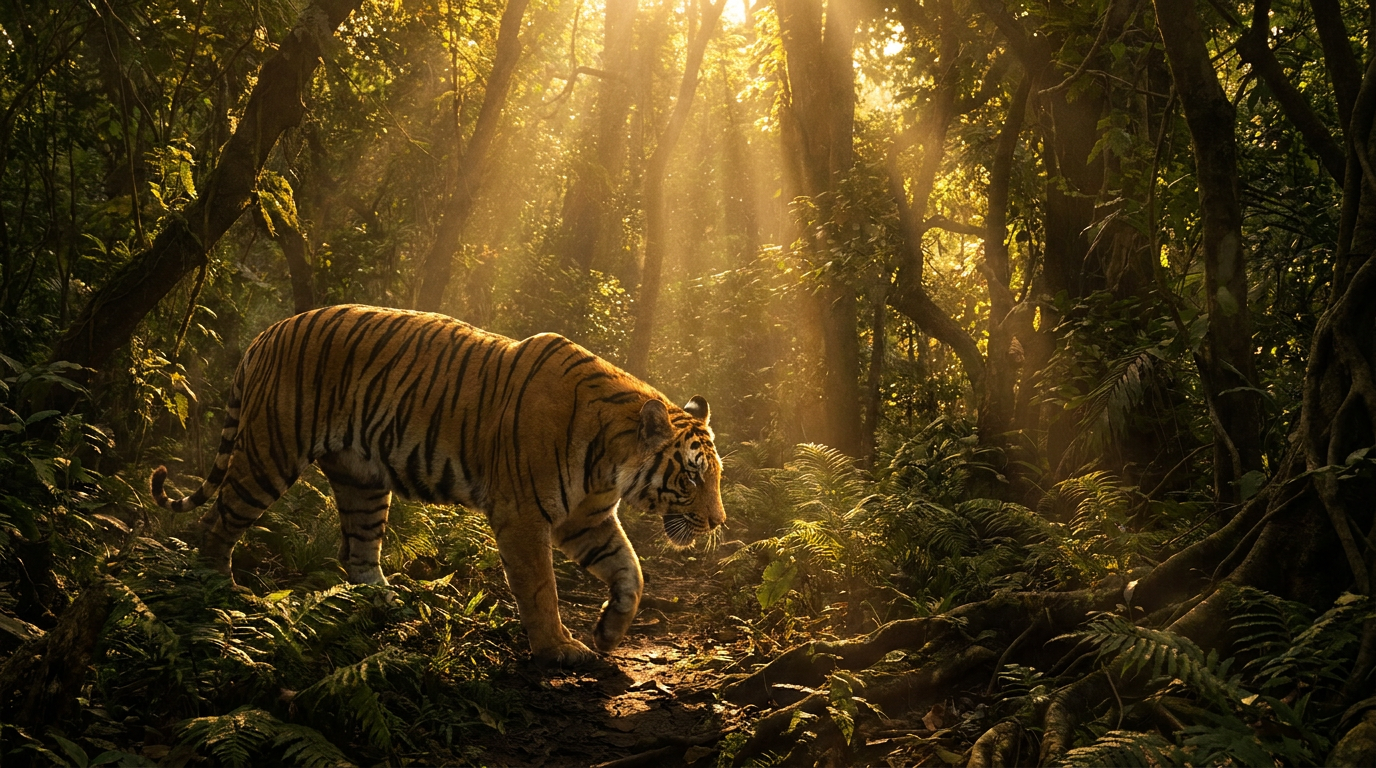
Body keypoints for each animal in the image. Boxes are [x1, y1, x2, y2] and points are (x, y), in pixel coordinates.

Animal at [150, 304, 725, 666]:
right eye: (693, 474)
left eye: (716, 475)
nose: (718, 522)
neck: (611, 462)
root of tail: (266, 333)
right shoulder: (524, 515)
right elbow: (540, 587)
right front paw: (558, 650)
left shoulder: (587, 518)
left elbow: (632, 572)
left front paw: (608, 632)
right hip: (269, 452)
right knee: (215, 522)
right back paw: (217, 592)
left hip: (362, 481)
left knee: (356, 552)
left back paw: (389, 603)